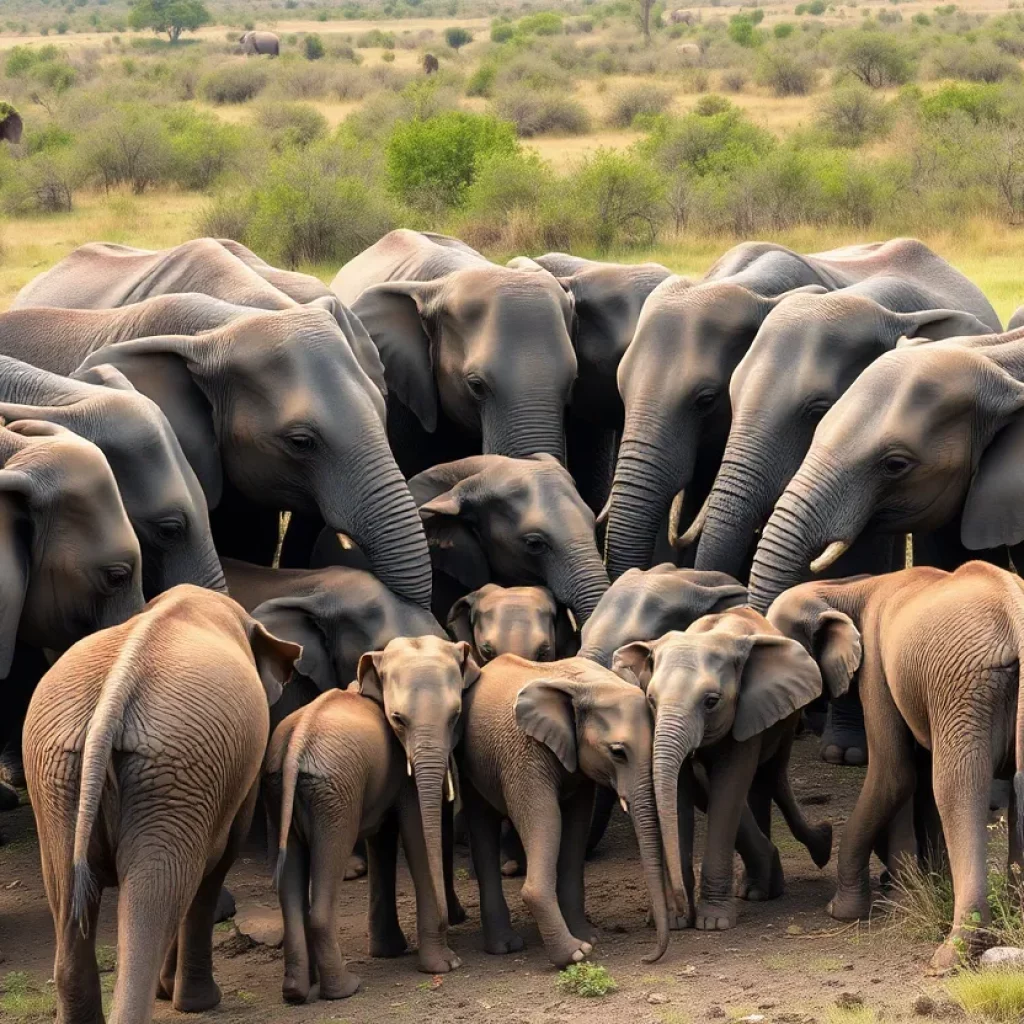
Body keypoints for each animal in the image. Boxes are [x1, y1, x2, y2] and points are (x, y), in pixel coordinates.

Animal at [23, 585, 300, 1023]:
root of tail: (108, 706)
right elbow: (216, 865)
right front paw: (194, 1001)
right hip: (173, 770)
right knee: (163, 892)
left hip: (61, 774)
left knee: (68, 893)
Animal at [266, 636, 476, 1002]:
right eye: (398, 719)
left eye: (455, 716)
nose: (451, 920)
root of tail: (295, 745)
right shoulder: (400, 769)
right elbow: (415, 832)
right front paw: (446, 965)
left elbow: (384, 838)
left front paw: (389, 952)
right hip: (335, 797)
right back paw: (344, 989)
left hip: (281, 791)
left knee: (289, 877)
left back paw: (295, 992)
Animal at [457, 653, 671, 965]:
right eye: (618, 752)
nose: (647, 957)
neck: (587, 683)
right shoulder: (525, 752)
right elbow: (545, 819)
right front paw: (576, 953)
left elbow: (575, 825)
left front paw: (588, 938)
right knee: (482, 823)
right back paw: (506, 946)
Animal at [612, 606, 836, 930]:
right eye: (650, 700)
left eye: (711, 701)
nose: (677, 906)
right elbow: (680, 788)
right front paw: (678, 920)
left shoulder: (747, 709)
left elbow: (729, 786)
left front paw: (714, 922)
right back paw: (759, 885)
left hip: (785, 716)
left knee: (769, 778)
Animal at [767, 562, 1024, 970]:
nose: (822, 839)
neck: (845, 587)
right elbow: (913, 774)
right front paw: (921, 890)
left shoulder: (875, 663)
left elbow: (894, 772)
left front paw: (844, 911)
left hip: (963, 687)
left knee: (956, 786)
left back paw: (951, 955)